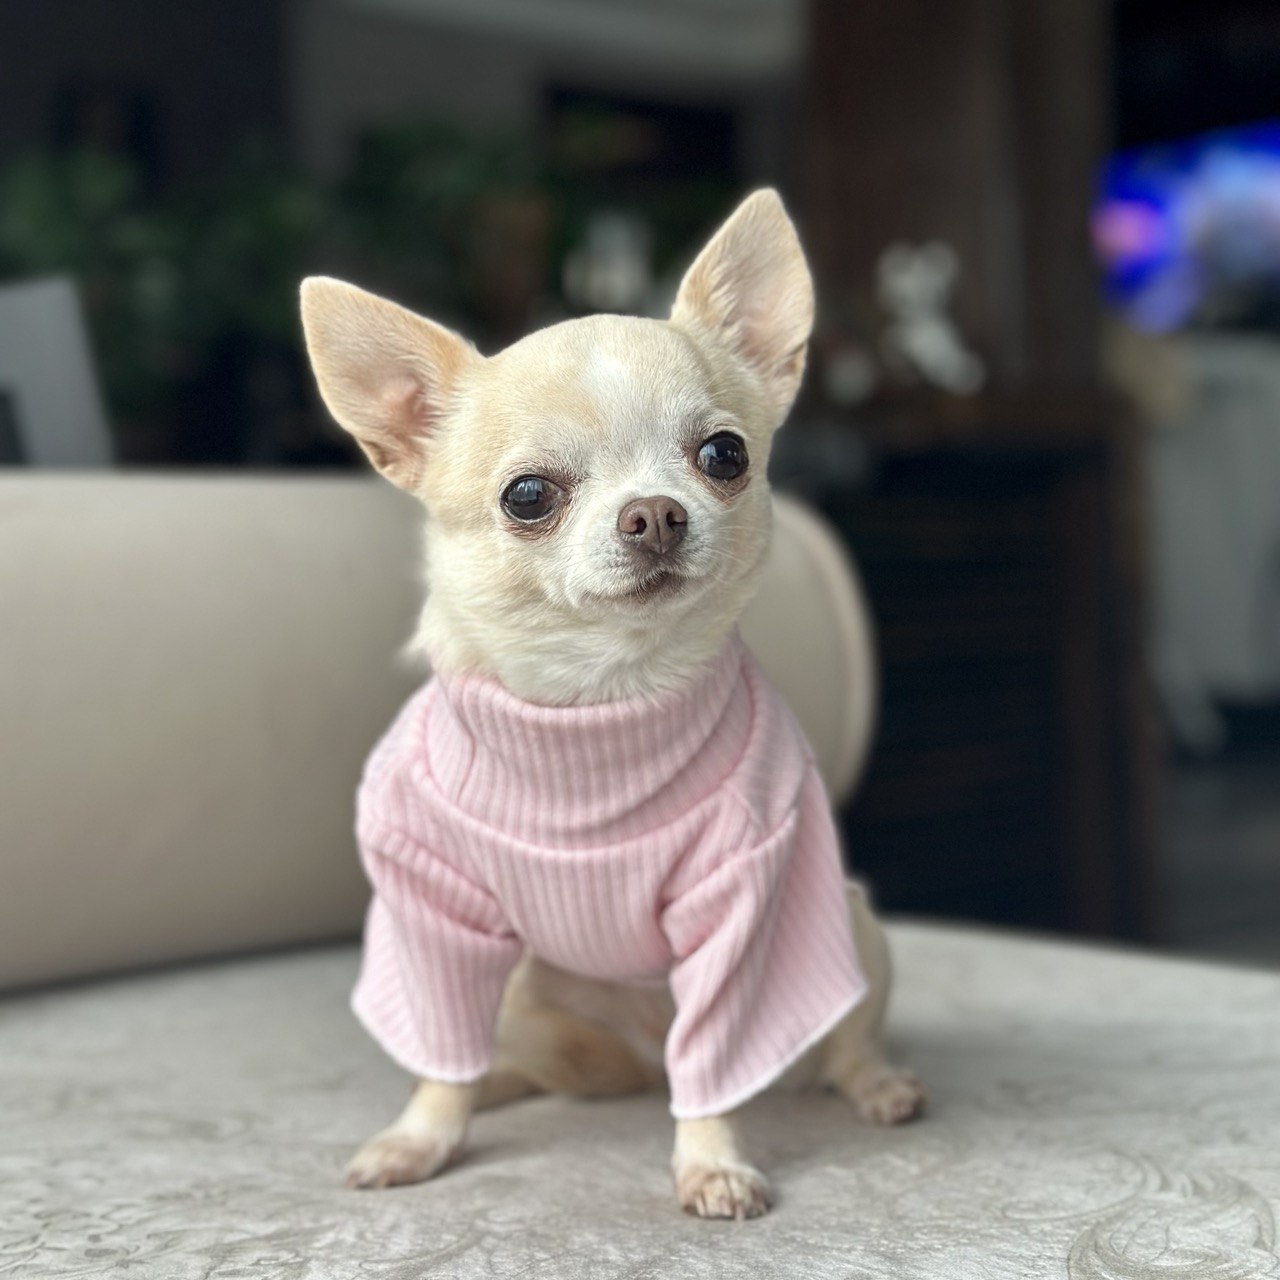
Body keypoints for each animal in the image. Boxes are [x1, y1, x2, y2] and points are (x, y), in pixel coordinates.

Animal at [299, 186, 921, 1218]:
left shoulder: (744, 900)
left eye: (724, 454)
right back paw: (497, 1089)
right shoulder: (433, 913)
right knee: (512, 1066)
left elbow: (719, 1059)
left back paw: (876, 1085)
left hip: (856, 935)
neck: (597, 701)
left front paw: (711, 1161)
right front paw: (422, 1137)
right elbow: (439, 1061)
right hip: (524, 996)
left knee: (834, 1046)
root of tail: (635, 1066)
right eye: (527, 496)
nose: (655, 513)